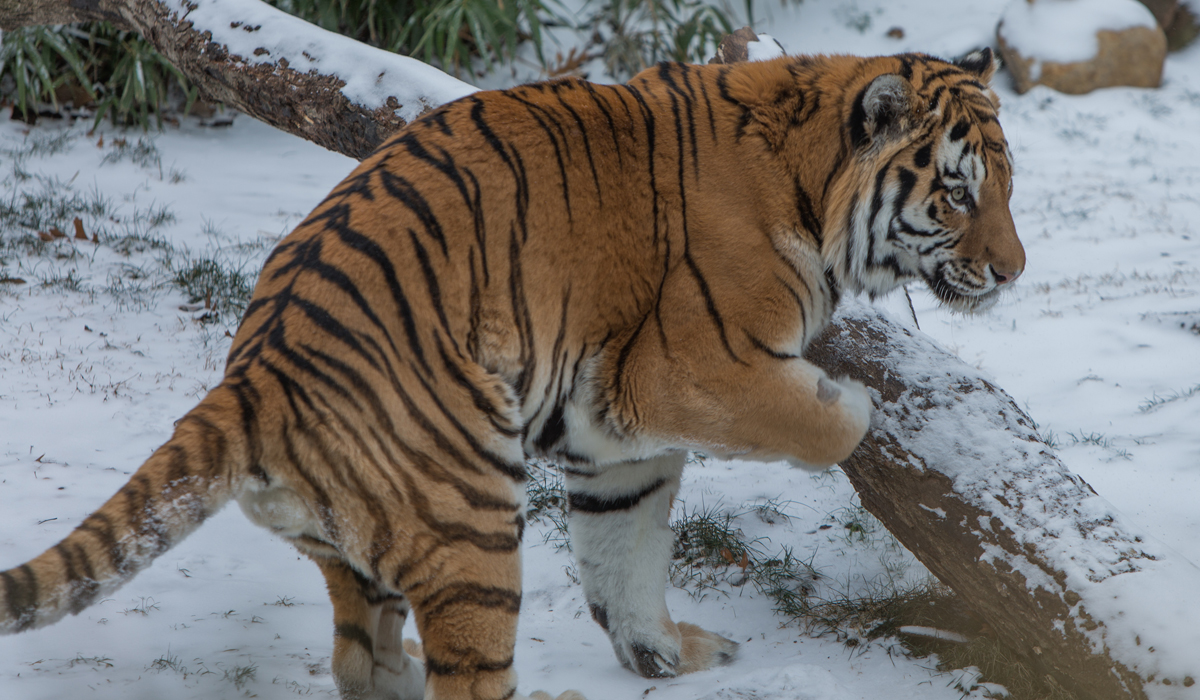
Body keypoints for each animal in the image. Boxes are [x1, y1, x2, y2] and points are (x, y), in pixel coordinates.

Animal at [4, 48, 1027, 700]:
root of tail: (254, 374)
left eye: (1007, 187)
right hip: (472, 523)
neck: (811, 181)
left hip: (356, 548)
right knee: (463, 676)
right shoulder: (686, 367)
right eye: (957, 192)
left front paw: (662, 655)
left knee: (358, 660)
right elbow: (818, 419)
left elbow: (623, 554)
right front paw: (852, 404)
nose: (1015, 272)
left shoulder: (615, 434)